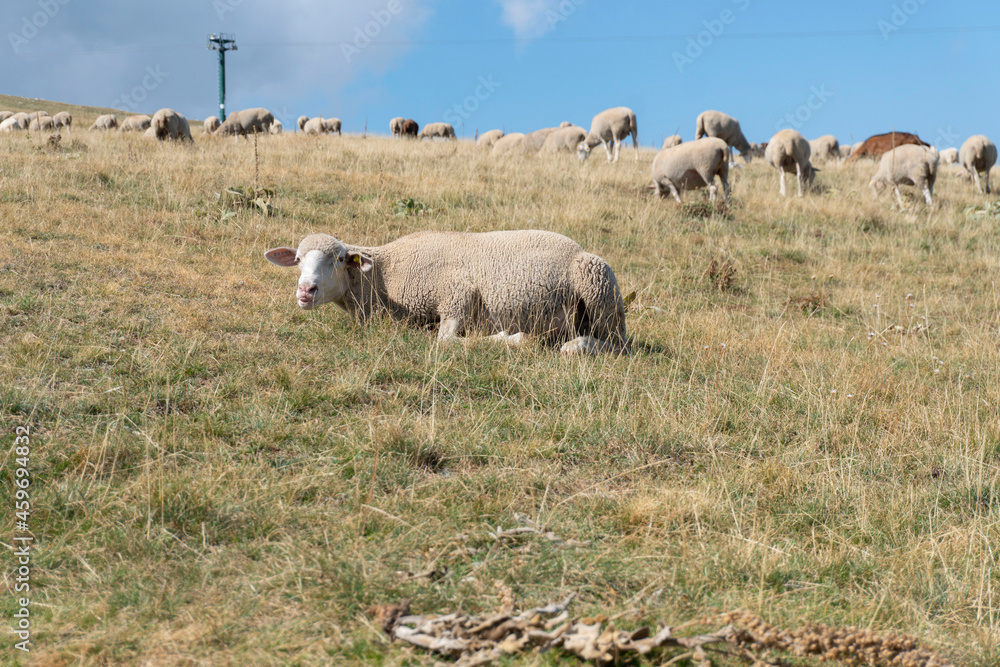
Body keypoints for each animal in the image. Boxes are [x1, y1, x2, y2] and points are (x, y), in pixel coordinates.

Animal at [263, 230, 628, 355]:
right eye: (298, 260)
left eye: (339, 259)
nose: (306, 290)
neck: (384, 275)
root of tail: (578, 248)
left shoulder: (457, 294)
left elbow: (447, 341)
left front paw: (513, 339)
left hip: (598, 284)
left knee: (616, 343)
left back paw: (574, 346)